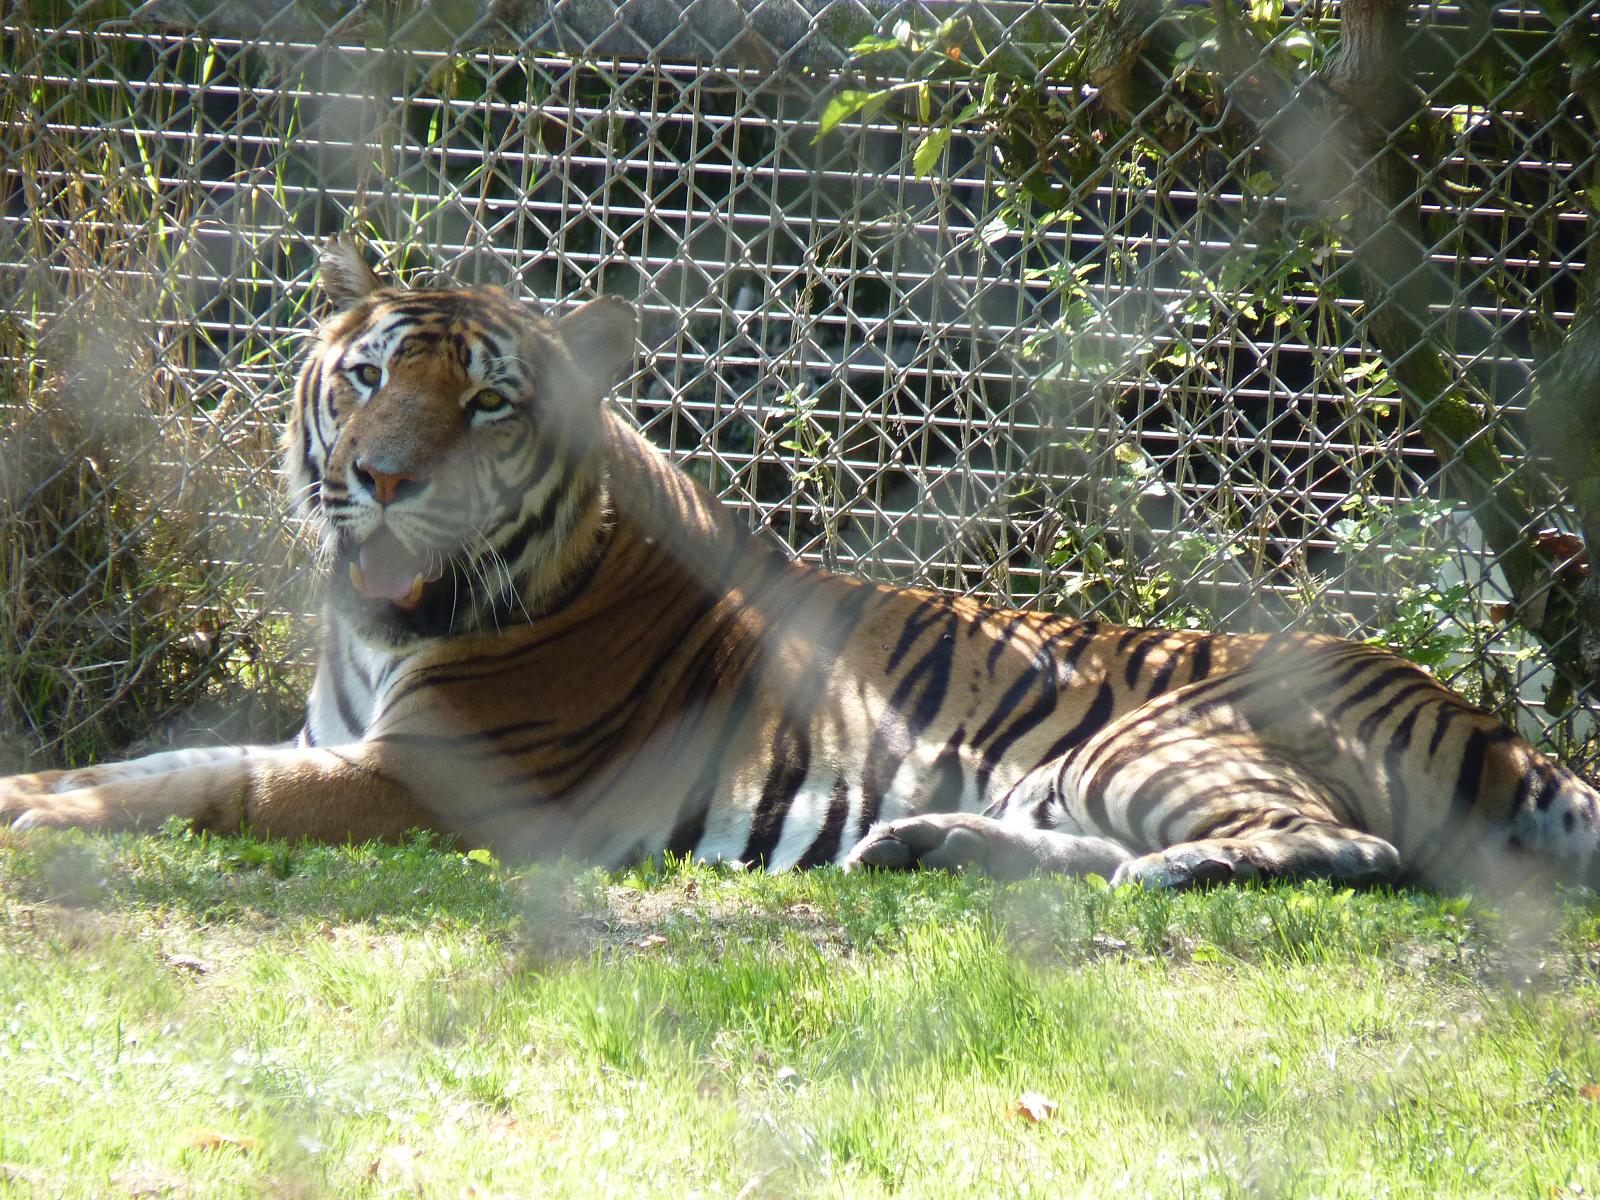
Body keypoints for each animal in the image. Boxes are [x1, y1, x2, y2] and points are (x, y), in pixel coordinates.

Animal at [2, 238, 1597, 895]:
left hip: (1152, 743)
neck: (382, 632)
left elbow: (200, 787)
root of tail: (1480, 716)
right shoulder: (334, 736)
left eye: (489, 403)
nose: (383, 480)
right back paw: (926, 847)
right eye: (368, 377)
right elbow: (173, 760)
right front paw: (35, 788)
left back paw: (1148, 871)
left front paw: (43, 815)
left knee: (1342, 850)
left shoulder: (426, 779)